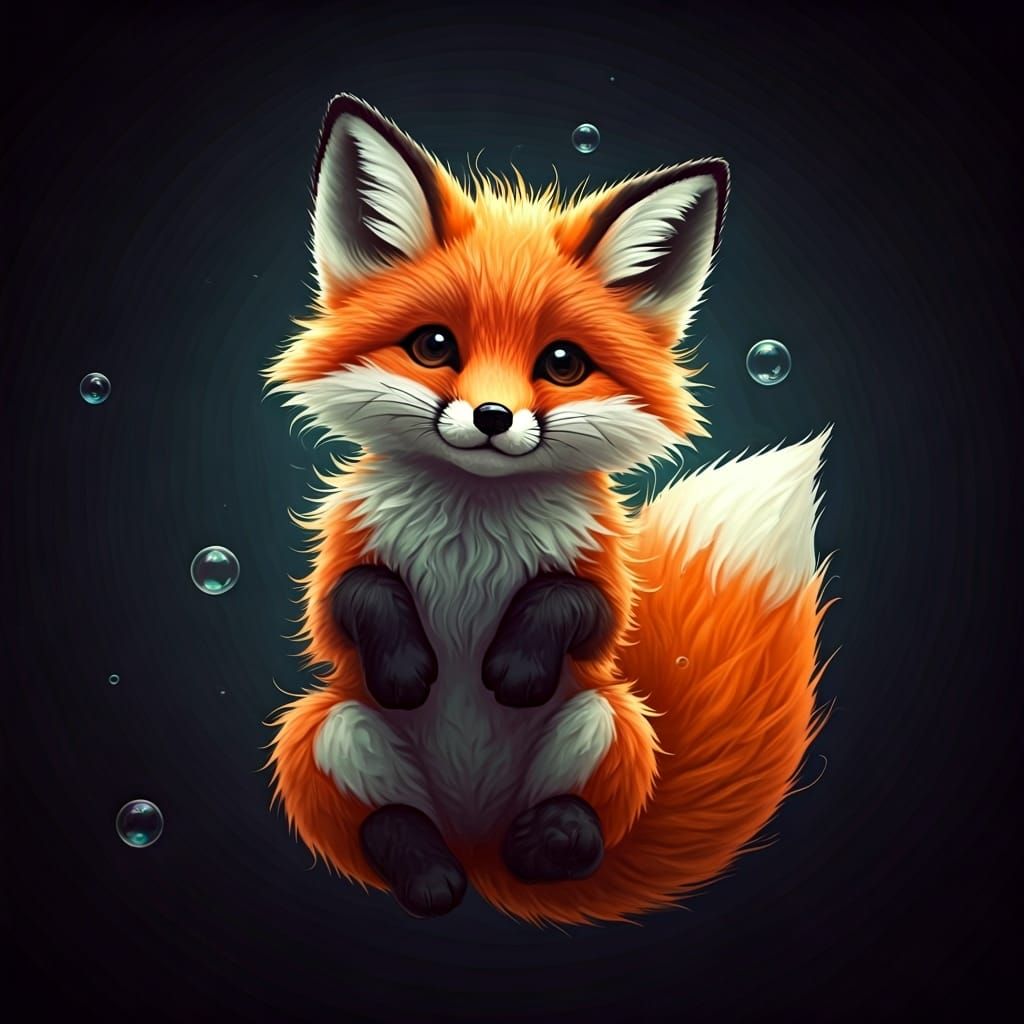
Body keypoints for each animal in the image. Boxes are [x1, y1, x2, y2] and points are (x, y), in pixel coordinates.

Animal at [263, 93, 832, 925]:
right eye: (433, 346)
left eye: (562, 363)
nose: (493, 417)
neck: (473, 526)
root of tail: (476, 845)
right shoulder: (343, 565)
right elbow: (357, 596)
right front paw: (406, 669)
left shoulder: (601, 583)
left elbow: (572, 604)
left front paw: (515, 668)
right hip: (326, 729)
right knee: (387, 825)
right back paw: (431, 875)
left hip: (607, 720)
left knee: (580, 830)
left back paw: (545, 841)